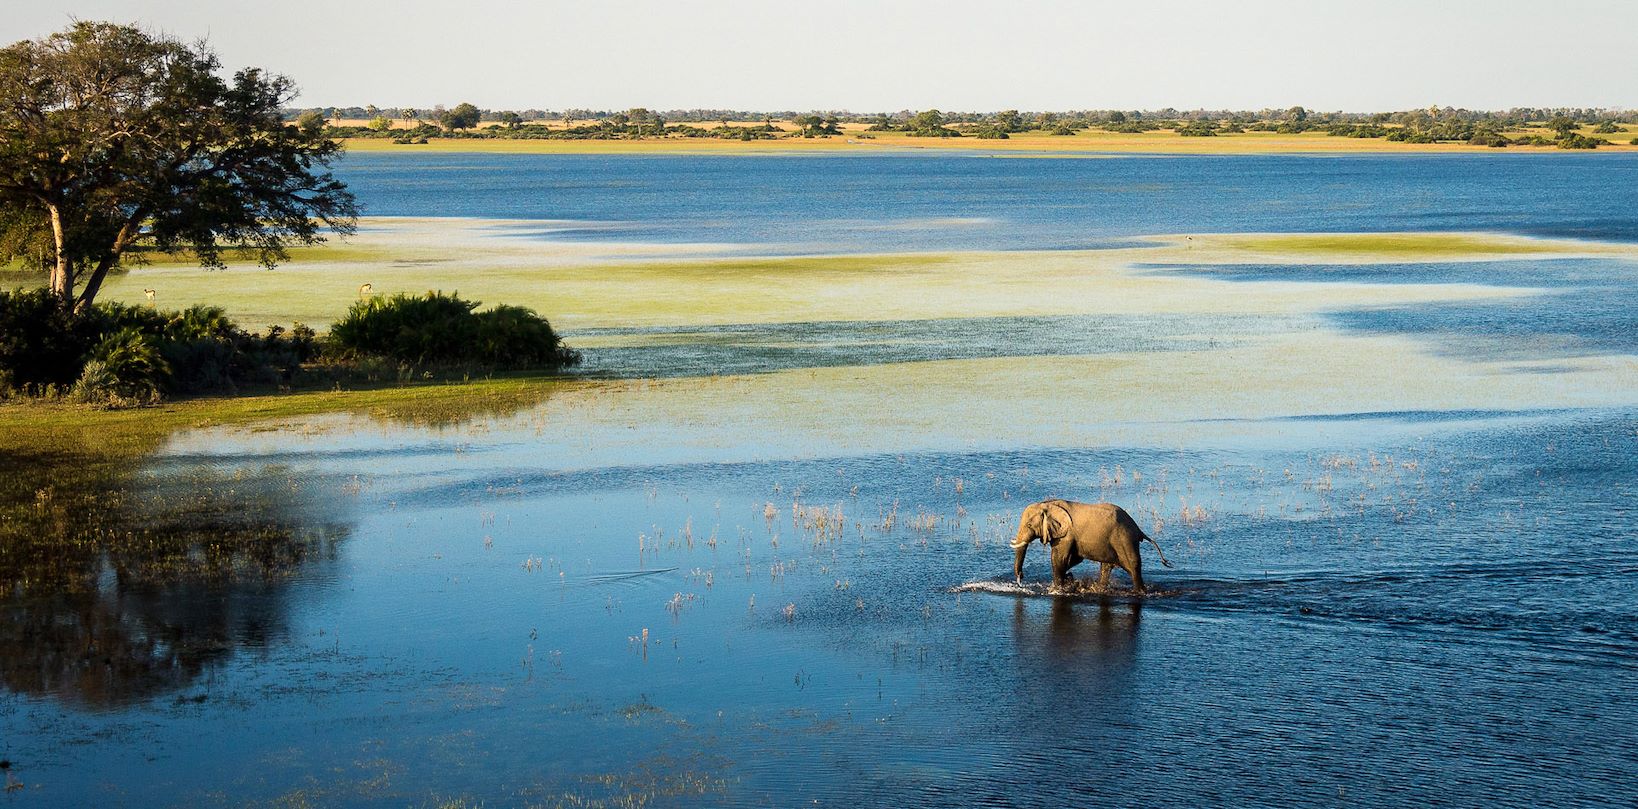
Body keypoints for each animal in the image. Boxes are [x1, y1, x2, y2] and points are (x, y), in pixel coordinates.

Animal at [1015, 497, 1172, 592]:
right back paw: (1099, 588)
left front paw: (1058, 589)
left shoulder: (1066, 535)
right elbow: (1074, 559)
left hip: (1124, 539)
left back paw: (1140, 592)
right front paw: (1070, 579)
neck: (1047, 504)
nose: (1021, 578)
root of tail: (1138, 529)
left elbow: (1059, 559)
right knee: (1107, 566)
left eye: (1029, 525)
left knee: (1132, 566)